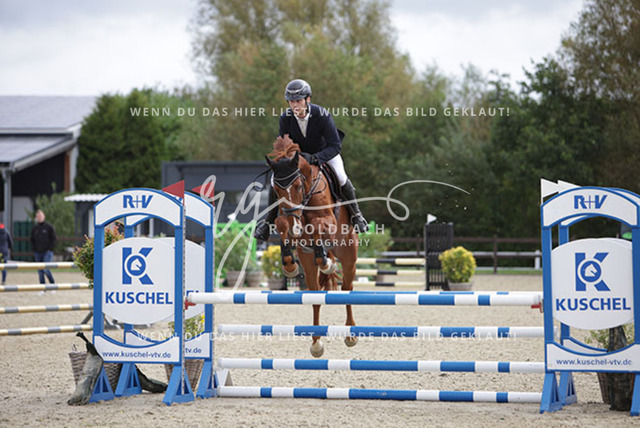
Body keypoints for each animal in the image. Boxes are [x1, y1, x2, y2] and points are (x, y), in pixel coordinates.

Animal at [265, 135, 359, 357]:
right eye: (276, 191)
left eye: (298, 186)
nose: (295, 226)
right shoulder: (288, 222)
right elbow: (282, 225)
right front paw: (290, 265)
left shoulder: (328, 222)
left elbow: (317, 226)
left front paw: (325, 263)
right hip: (308, 264)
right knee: (315, 294)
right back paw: (316, 343)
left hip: (349, 257)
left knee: (347, 288)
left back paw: (350, 334)